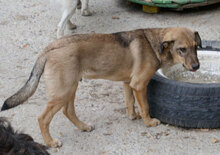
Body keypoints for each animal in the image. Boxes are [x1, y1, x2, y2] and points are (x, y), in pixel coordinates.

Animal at [1, 27, 201, 148]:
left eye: (195, 47)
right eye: (182, 49)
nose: (196, 67)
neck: (153, 44)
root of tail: (49, 48)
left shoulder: (128, 83)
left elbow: (130, 103)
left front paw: (132, 116)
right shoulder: (139, 84)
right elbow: (144, 106)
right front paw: (149, 122)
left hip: (70, 87)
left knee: (68, 111)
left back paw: (83, 127)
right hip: (62, 91)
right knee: (43, 118)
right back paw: (50, 142)